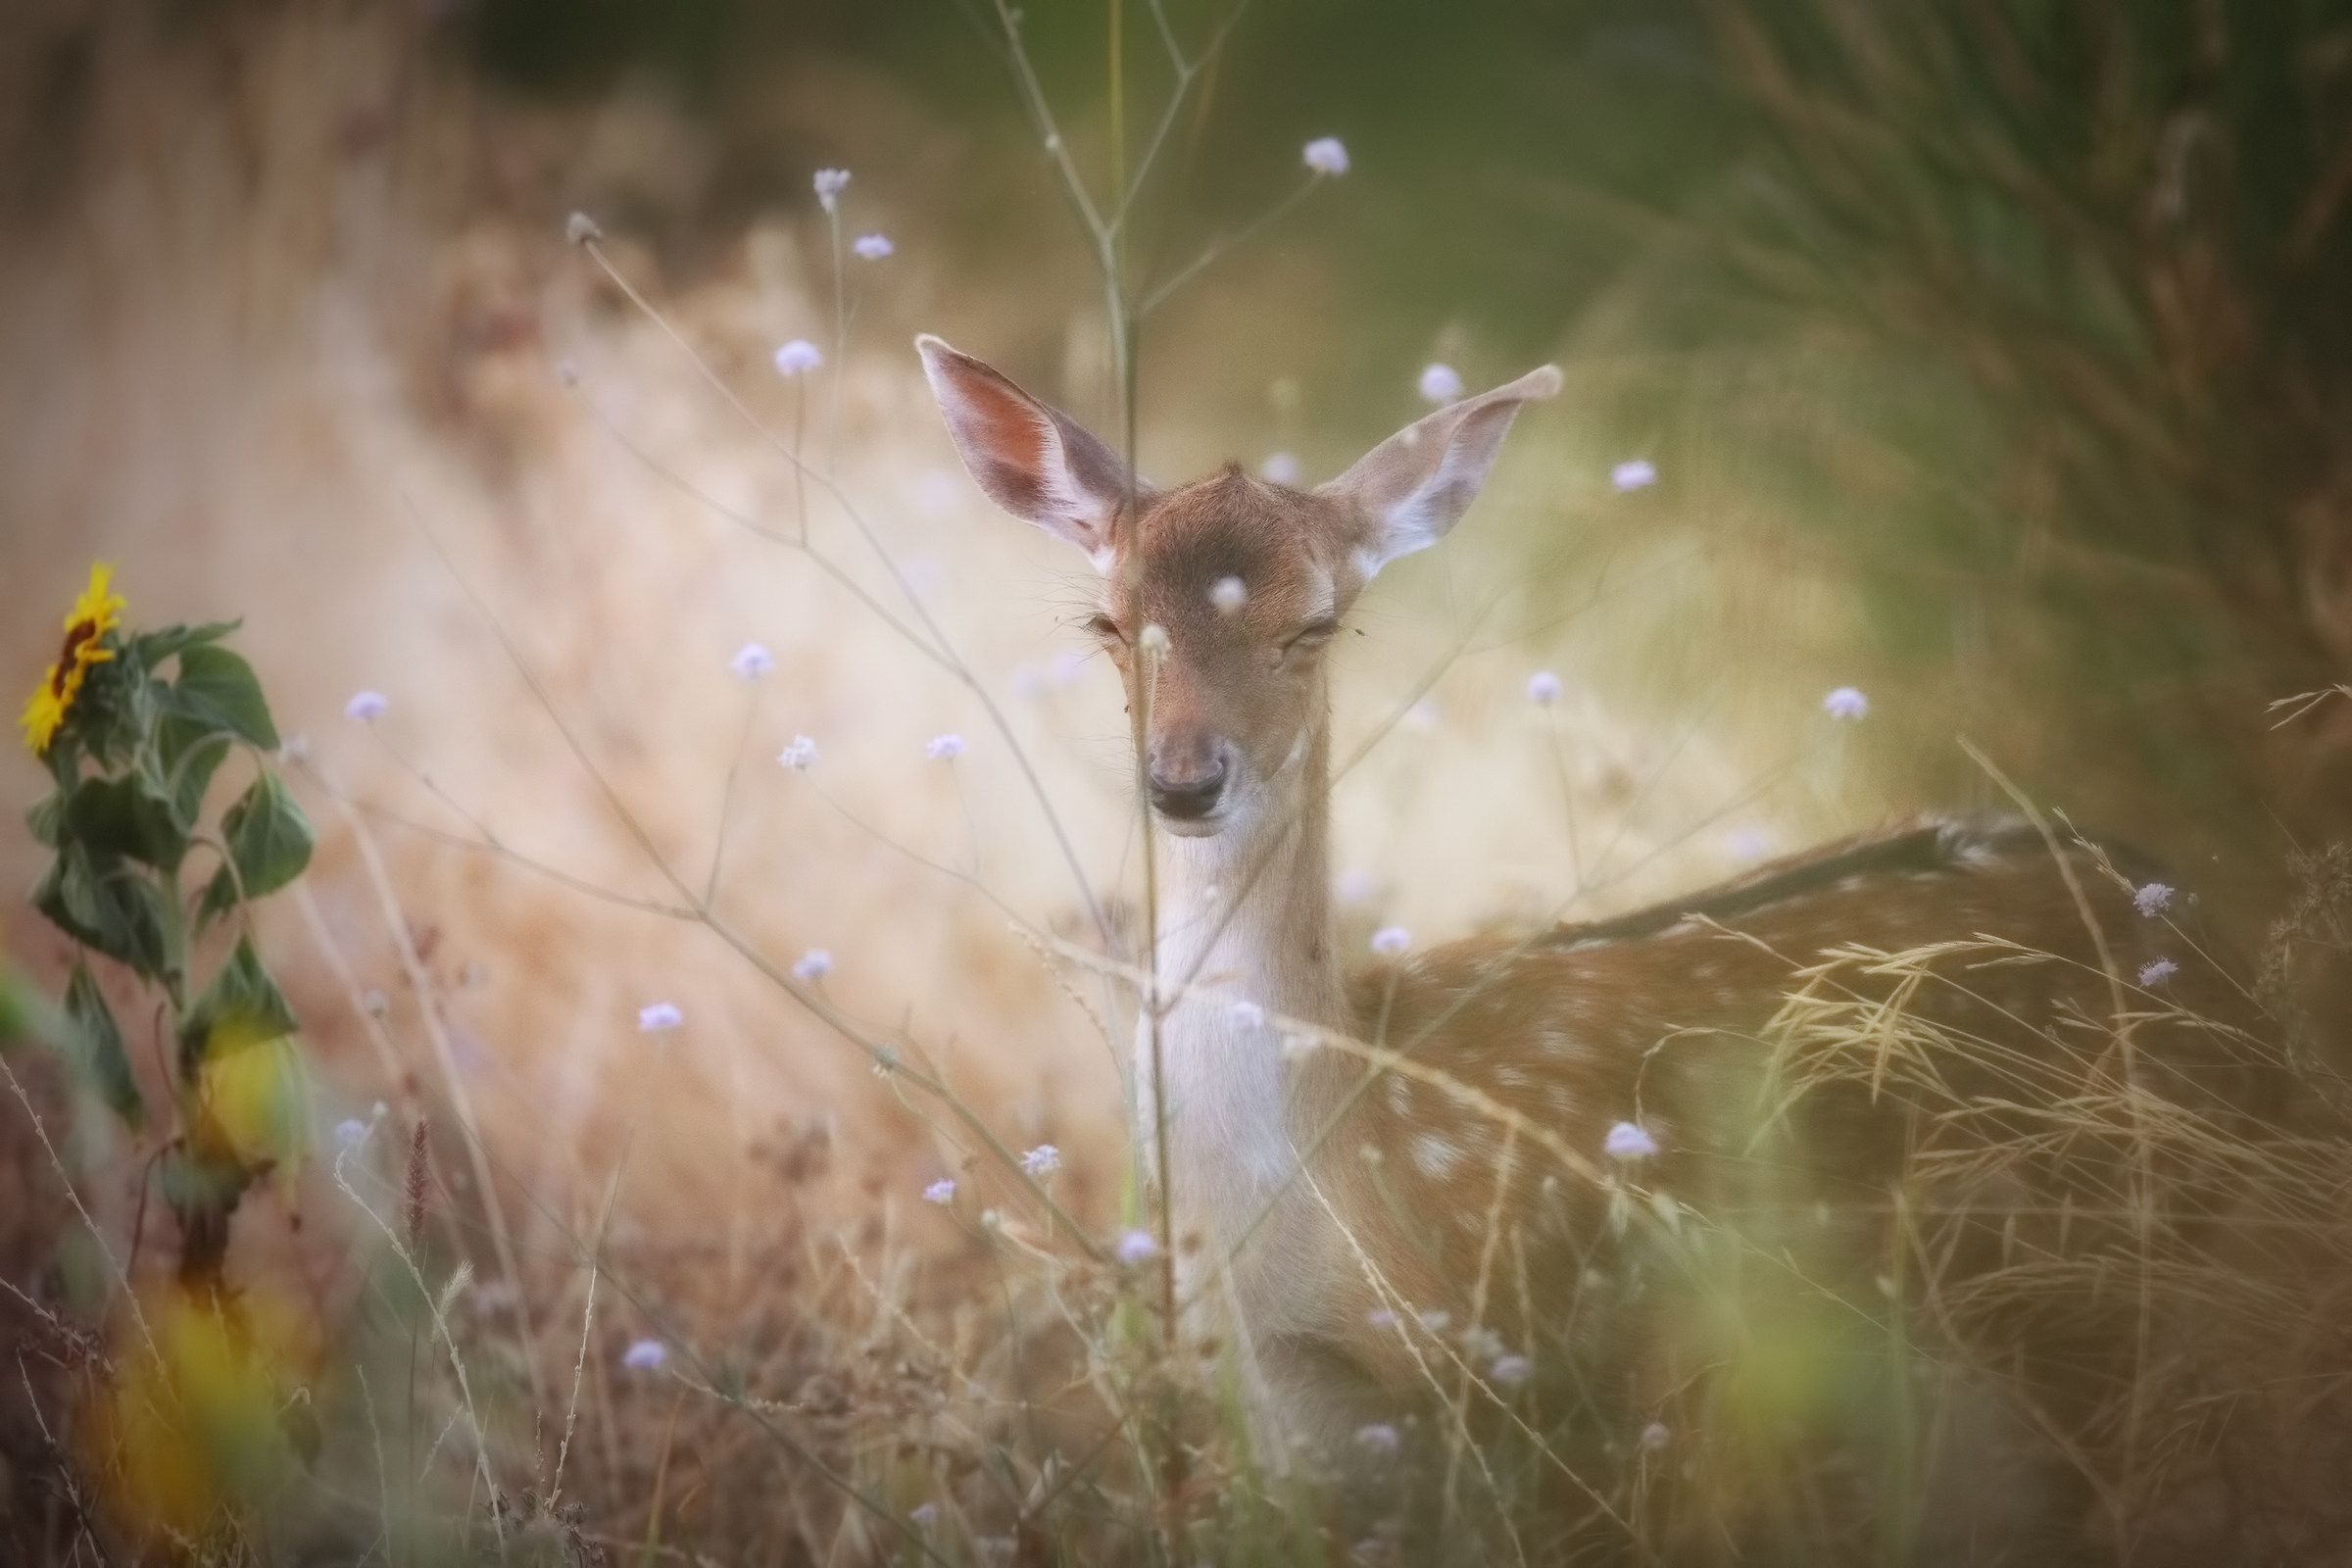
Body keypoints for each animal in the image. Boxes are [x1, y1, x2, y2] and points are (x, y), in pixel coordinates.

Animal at [915, 336, 2282, 1547]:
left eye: (1314, 625)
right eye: (1106, 622)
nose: (1185, 782)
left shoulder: (1550, 1386)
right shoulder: (1298, 1437)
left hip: (2096, 1284)